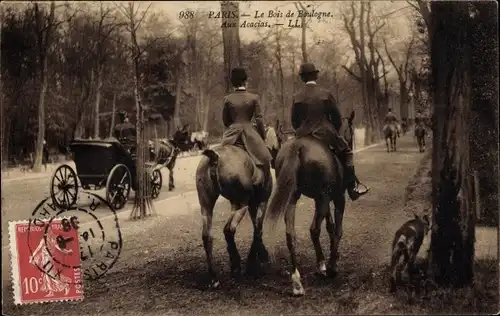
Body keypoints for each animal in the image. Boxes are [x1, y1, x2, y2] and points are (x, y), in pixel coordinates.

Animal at [196, 144, 274, 288]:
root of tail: (214, 157)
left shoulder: (248, 204)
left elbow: (256, 227)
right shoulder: (262, 201)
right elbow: (258, 228)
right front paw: (256, 262)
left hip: (206, 205)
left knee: (207, 236)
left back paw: (214, 277)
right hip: (241, 204)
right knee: (229, 230)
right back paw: (236, 267)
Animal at [266, 110, 356, 296]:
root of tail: (298, 147)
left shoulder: (321, 199)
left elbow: (330, 225)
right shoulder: (337, 198)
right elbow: (337, 229)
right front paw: (332, 265)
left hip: (294, 198)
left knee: (290, 234)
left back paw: (296, 282)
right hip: (323, 198)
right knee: (314, 229)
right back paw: (323, 266)